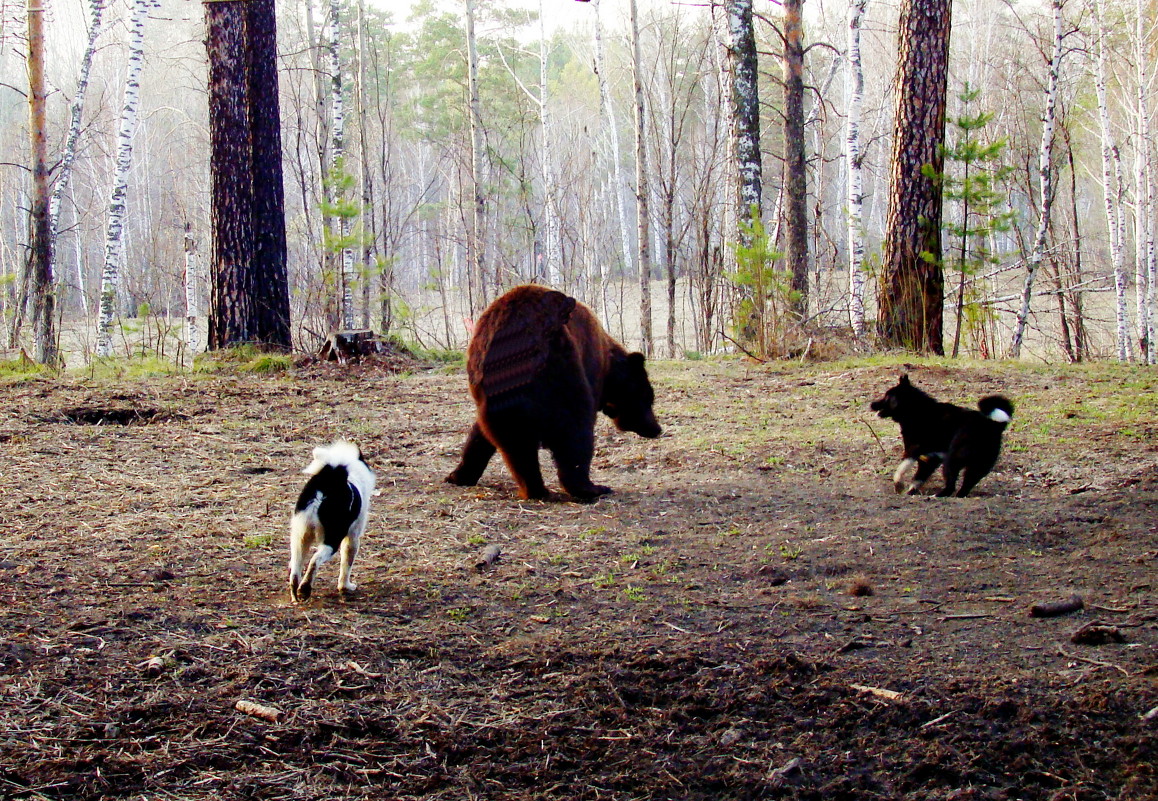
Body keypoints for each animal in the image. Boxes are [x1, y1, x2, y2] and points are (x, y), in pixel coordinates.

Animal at [287, 442, 372, 601]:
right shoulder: (353, 536)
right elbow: (347, 564)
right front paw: (345, 587)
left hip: (299, 538)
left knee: (295, 570)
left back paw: (296, 594)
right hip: (332, 538)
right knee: (315, 561)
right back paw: (306, 588)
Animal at [442, 283, 662, 500]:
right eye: (648, 398)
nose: (656, 429)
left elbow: (480, 435)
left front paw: (460, 474)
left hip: (498, 392)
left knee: (517, 443)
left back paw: (533, 489)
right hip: (561, 370)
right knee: (574, 429)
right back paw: (589, 487)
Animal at [870, 375, 1014, 497]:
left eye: (886, 397)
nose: (871, 404)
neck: (916, 411)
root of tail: (992, 425)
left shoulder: (914, 450)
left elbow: (901, 470)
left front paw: (899, 485)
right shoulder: (929, 459)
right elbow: (918, 478)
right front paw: (911, 491)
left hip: (952, 460)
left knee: (951, 485)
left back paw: (940, 495)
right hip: (977, 466)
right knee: (966, 485)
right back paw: (958, 495)